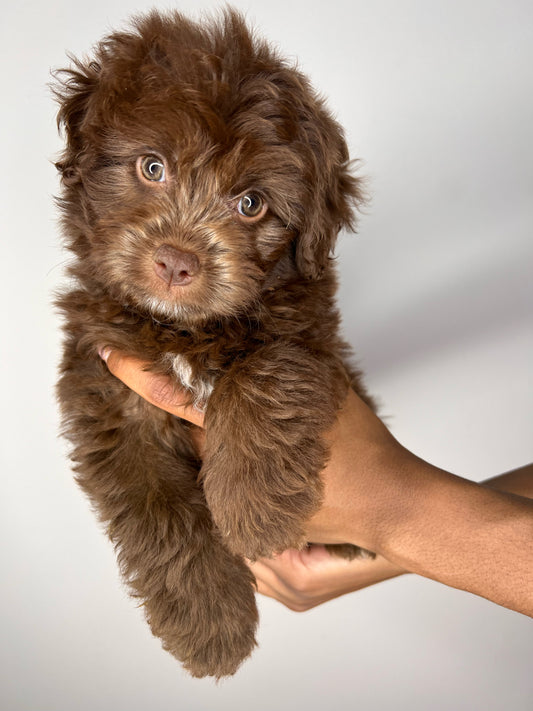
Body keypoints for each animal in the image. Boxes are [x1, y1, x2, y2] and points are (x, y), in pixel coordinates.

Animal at [53, 9, 370, 680]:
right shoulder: (108, 391)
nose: (177, 262)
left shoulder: (308, 332)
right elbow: (161, 514)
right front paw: (210, 625)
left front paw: (252, 509)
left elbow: (265, 371)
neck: (181, 331)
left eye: (251, 204)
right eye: (152, 167)